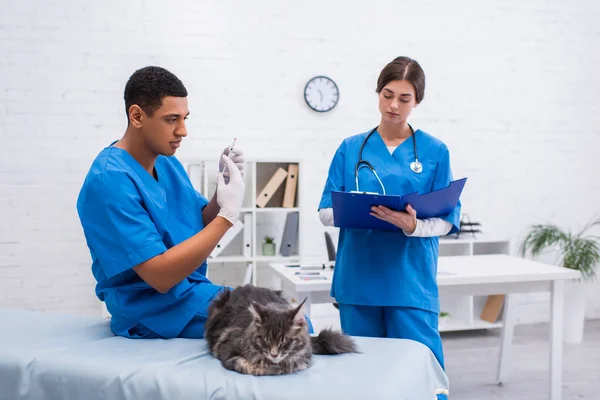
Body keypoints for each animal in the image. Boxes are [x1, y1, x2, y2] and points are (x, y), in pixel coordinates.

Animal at [204, 284, 358, 376]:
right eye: (265, 340)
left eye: (284, 342)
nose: (274, 354)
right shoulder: (227, 347)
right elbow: (246, 365)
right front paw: (272, 368)